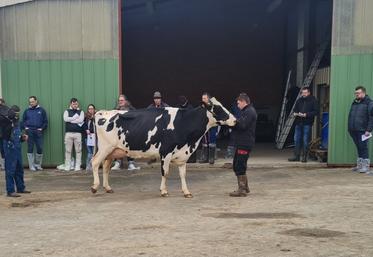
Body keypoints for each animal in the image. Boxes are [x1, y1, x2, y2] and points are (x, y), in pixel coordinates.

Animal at [91, 97, 235, 197]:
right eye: (217, 108)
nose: (235, 120)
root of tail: (102, 112)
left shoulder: (182, 154)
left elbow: (183, 174)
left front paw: (186, 192)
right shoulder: (166, 152)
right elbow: (165, 172)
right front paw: (164, 191)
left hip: (112, 151)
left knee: (105, 167)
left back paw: (108, 188)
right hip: (104, 148)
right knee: (95, 162)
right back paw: (94, 187)